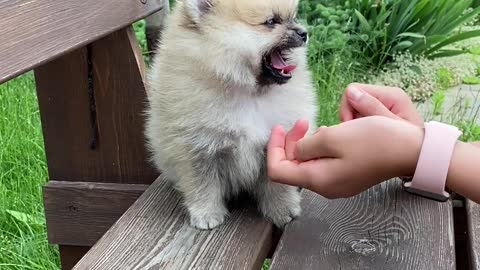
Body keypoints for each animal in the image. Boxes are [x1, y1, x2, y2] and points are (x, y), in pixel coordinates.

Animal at [146, 0, 318, 230]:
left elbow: (277, 183)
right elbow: (203, 184)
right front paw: (206, 214)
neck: (248, 92)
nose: (304, 33)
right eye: (271, 22)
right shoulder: (197, 147)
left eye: (293, 17)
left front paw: (283, 209)